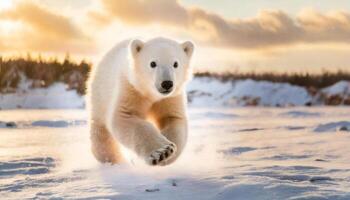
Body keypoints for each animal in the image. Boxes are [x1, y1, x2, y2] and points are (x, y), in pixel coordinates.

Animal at [87, 37, 194, 166]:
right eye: (152, 63)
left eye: (176, 64)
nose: (167, 83)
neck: (151, 94)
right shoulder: (131, 88)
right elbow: (124, 116)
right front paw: (163, 152)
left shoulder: (170, 97)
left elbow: (173, 118)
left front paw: (169, 153)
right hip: (100, 94)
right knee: (101, 133)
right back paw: (114, 160)